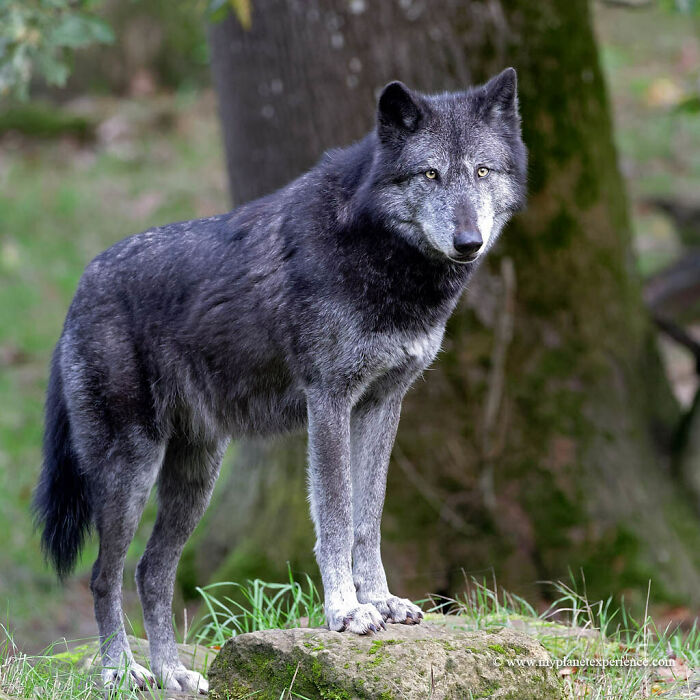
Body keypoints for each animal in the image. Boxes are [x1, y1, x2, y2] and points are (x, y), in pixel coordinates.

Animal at [33, 67, 526, 693]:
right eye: (430, 174)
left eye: (482, 171)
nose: (469, 242)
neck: (382, 259)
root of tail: (80, 288)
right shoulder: (330, 401)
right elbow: (336, 517)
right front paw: (345, 612)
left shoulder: (383, 404)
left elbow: (368, 518)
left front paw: (383, 601)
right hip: (132, 470)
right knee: (103, 573)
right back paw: (123, 672)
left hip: (197, 477)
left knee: (151, 571)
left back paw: (174, 674)